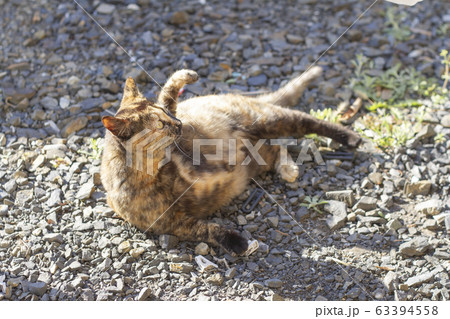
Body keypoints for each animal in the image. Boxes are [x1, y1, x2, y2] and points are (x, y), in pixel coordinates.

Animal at [100, 67, 360, 255]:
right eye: (161, 124)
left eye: (166, 115)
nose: (180, 123)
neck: (152, 172)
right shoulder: (171, 222)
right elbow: (207, 229)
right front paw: (238, 243)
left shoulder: (176, 121)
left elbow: (168, 92)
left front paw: (188, 75)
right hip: (260, 154)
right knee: (277, 147)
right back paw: (289, 169)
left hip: (271, 119)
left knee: (310, 121)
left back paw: (351, 138)